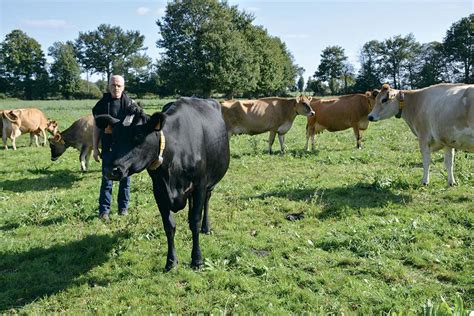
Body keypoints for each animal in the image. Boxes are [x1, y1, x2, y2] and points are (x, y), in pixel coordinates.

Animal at [96, 97, 230, 270]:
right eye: (114, 137)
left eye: (138, 135)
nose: (111, 170)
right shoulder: (159, 190)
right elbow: (169, 226)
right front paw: (171, 261)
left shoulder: (199, 185)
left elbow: (195, 221)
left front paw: (197, 259)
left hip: (210, 182)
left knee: (207, 200)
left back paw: (206, 227)